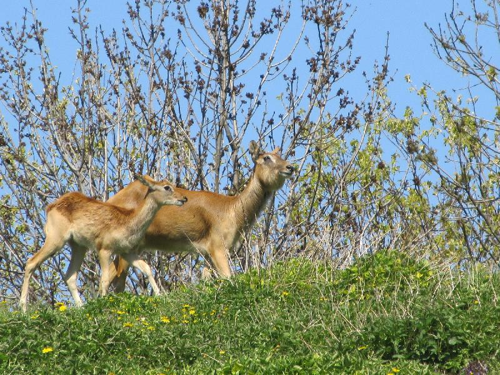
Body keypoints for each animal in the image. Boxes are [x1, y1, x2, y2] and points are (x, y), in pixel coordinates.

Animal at [18, 176, 188, 312]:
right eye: (166, 187)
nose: (184, 198)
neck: (128, 221)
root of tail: (50, 207)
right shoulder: (104, 248)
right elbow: (105, 279)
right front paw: (104, 303)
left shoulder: (126, 250)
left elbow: (146, 267)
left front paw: (161, 295)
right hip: (56, 238)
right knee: (31, 262)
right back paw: (23, 309)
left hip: (78, 246)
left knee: (70, 275)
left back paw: (81, 307)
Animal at [104, 142, 292, 294]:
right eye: (266, 157)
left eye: (280, 156)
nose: (290, 167)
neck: (233, 212)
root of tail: (111, 200)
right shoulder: (218, 244)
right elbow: (228, 277)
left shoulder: (208, 251)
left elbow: (207, 278)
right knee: (115, 277)